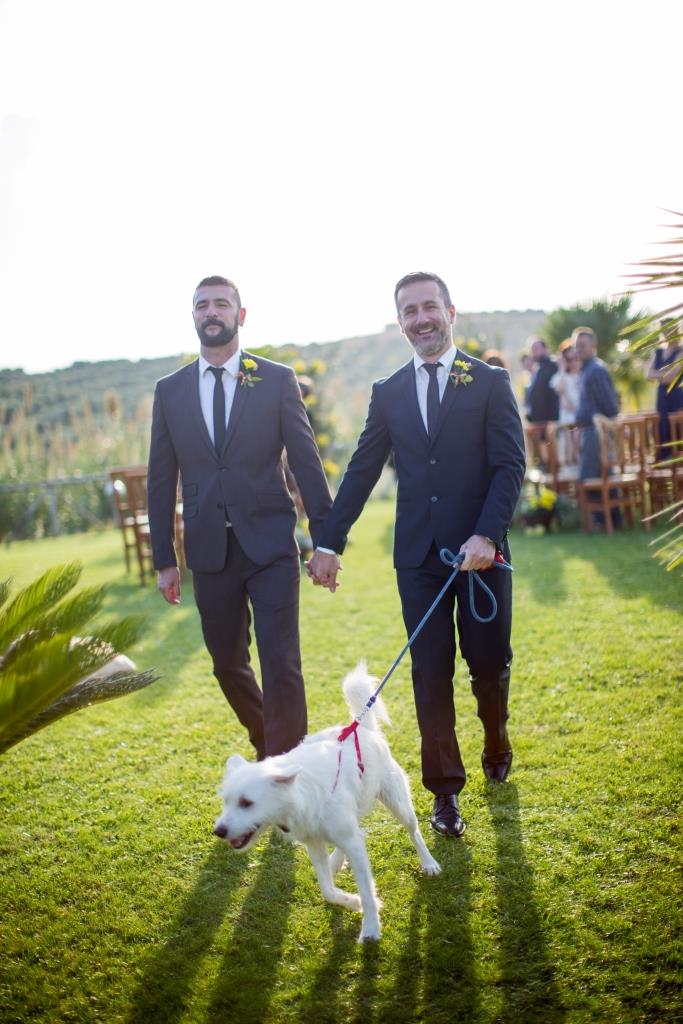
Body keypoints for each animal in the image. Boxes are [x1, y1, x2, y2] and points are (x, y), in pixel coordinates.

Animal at [214, 662, 441, 942]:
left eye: (246, 803)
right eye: (225, 801)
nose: (218, 831)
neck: (299, 795)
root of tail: (362, 728)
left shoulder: (350, 844)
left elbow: (367, 889)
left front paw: (371, 927)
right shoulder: (314, 844)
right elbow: (327, 890)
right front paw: (352, 902)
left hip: (399, 804)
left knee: (414, 833)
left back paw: (429, 863)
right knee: (355, 836)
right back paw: (337, 863)